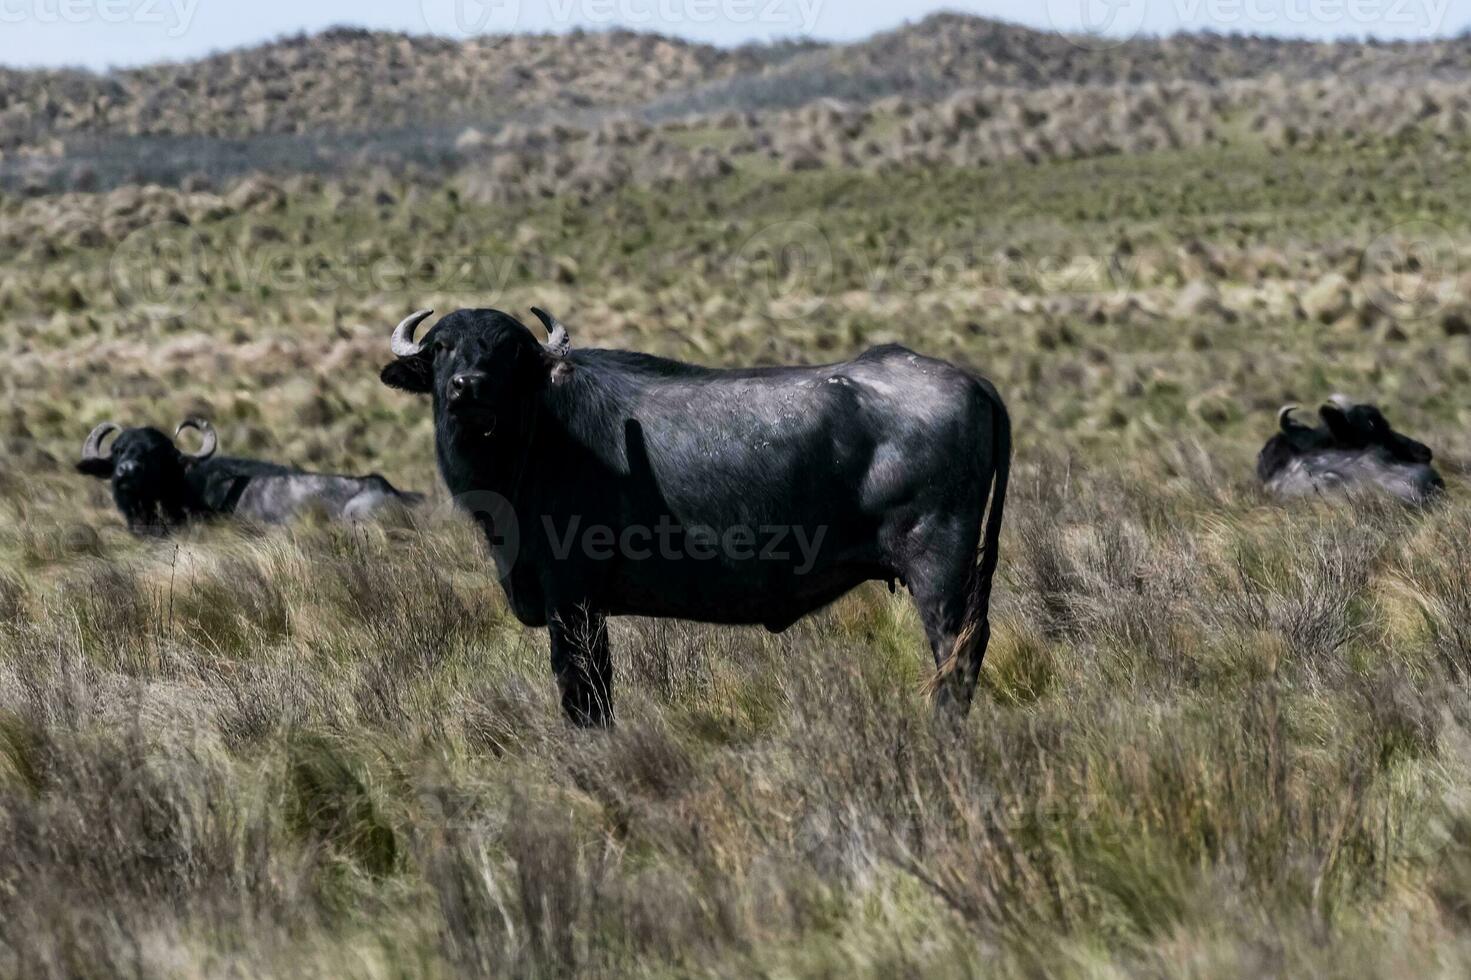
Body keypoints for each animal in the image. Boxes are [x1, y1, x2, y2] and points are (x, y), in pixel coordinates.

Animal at [376, 306, 1012, 723]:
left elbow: (584, 693)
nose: (468, 387)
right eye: (441, 348)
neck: (537, 438)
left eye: (508, 350)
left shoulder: (573, 599)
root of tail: (972, 380)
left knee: (955, 655)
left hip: (939, 568)